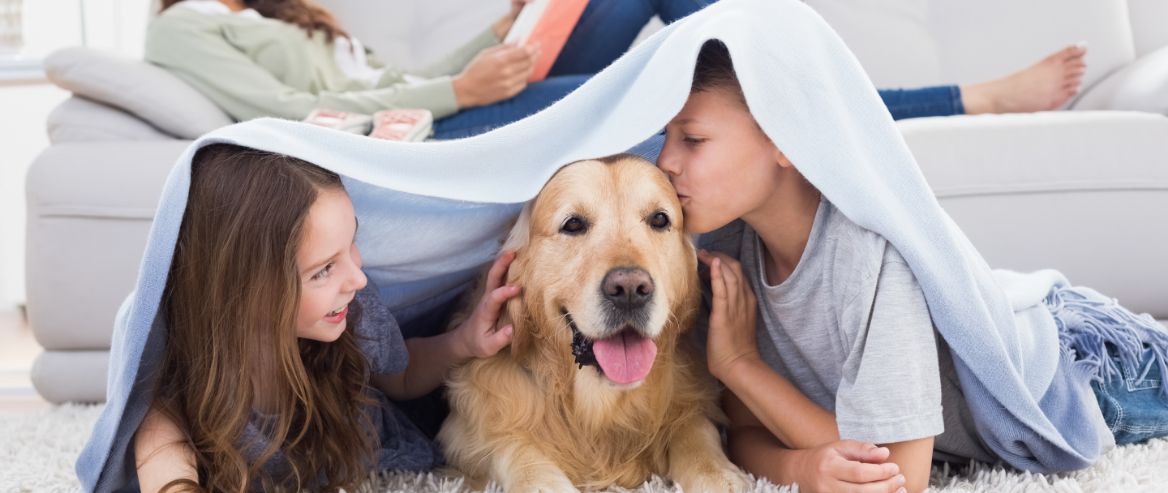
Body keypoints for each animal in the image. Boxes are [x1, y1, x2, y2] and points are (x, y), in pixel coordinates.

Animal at [439, 156, 747, 490]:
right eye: (573, 224)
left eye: (659, 219)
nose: (630, 290)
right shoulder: (464, 430)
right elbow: (509, 444)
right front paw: (541, 482)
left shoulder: (691, 398)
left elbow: (695, 427)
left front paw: (716, 473)